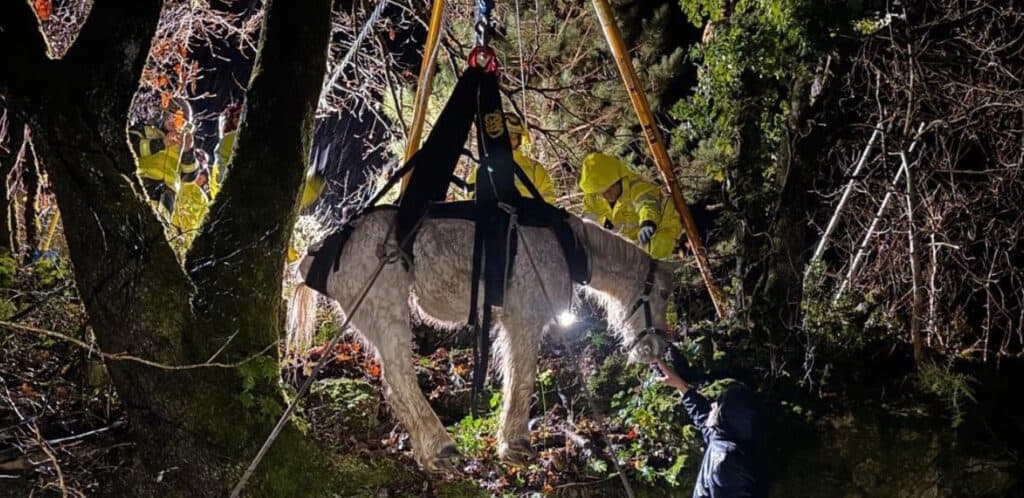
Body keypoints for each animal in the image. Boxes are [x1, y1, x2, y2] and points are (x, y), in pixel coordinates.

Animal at [291, 207, 673, 472]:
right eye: (664, 294)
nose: (658, 349)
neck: (569, 245)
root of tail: (319, 252)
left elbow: (511, 374)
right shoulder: (525, 317)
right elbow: (523, 378)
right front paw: (516, 444)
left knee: (392, 385)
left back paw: (428, 451)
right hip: (386, 310)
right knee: (400, 379)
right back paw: (442, 447)